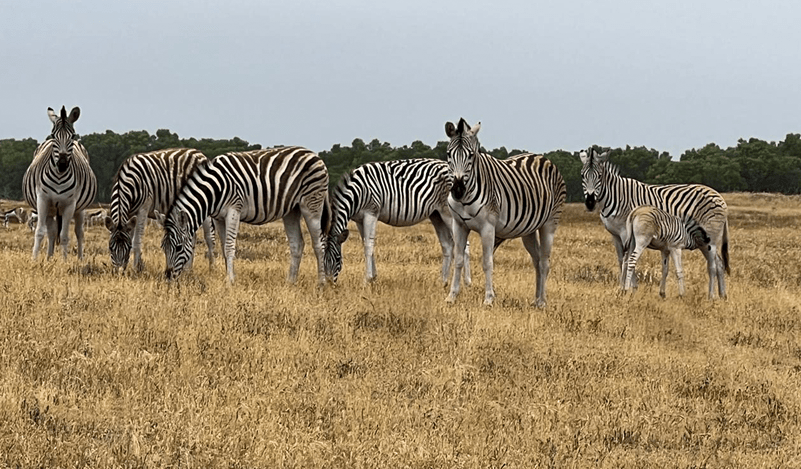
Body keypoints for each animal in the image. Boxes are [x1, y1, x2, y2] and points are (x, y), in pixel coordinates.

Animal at [22, 106, 97, 260]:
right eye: (53, 135)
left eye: (73, 136)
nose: (62, 164)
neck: (59, 176)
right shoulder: (42, 200)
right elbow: (39, 232)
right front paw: (34, 260)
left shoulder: (69, 205)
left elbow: (64, 236)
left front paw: (64, 261)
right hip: (51, 209)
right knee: (51, 232)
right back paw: (48, 258)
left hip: (79, 209)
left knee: (79, 232)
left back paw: (80, 259)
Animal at [162, 146, 330, 284]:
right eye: (164, 248)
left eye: (178, 248)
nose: (168, 278)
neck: (214, 190)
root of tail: (315, 154)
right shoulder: (218, 218)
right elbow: (223, 248)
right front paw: (231, 276)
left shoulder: (233, 210)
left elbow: (229, 246)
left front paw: (229, 281)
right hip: (291, 210)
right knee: (297, 244)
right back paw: (290, 282)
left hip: (312, 204)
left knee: (319, 243)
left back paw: (321, 283)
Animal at [324, 158, 471, 286]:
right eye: (322, 260)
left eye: (337, 259)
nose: (329, 285)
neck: (357, 193)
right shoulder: (359, 219)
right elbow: (365, 243)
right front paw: (373, 277)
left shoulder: (371, 213)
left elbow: (368, 245)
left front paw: (367, 280)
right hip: (436, 214)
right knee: (447, 245)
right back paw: (443, 281)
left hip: (449, 214)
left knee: (464, 245)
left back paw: (466, 283)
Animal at [444, 118, 566, 307]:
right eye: (449, 154)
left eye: (471, 155)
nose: (457, 190)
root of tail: (542, 157)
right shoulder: (459, 225)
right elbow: (458, 260)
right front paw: (452, 296)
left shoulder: (488, 227)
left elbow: (487, 262)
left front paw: (488, 298)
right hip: (528, 230)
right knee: (537, 260)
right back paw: (536, 299)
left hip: (550, 223)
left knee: (545, 262)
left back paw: (543, 302)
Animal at [580, 147, 729, 299]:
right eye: (582, 176)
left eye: (599, 176)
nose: (590, 203)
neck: (617, 197)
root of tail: (719, 197)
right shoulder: (615, 235)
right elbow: (621, 260)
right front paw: (621, 288)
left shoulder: (625, 233)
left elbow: (628, 259)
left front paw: (630, 288)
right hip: (705, 241)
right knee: (719, 263)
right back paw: (722, 295)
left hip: (709, 238)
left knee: (713, 264)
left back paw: (712, 295)